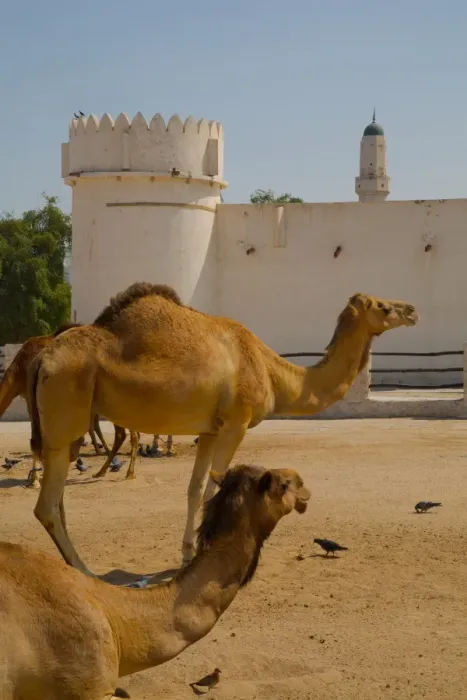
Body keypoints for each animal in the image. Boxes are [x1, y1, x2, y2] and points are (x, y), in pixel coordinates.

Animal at [28, 283, 419, 576]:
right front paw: (210, 553)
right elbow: (216, 485)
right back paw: (84, 570)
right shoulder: (236, 423)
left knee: (57, 500)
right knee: (47, 506)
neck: (272, 373)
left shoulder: (210, 430)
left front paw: (187, 554)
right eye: (384, 307)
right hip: (65, 416)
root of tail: (42, 357)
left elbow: (195, 488)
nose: (412, 310)